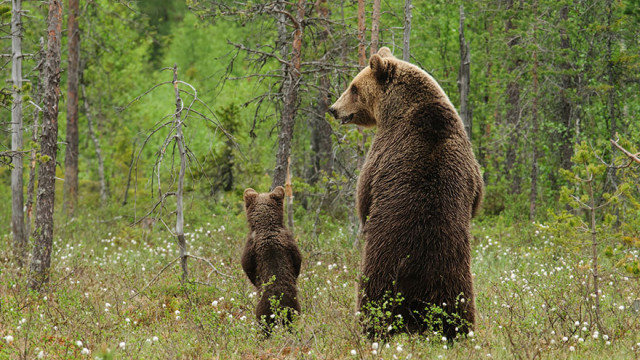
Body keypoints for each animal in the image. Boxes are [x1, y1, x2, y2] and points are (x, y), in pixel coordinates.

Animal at [242, 187, 302, 334]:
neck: (266, 227)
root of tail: (279, 307)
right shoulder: (290, 243)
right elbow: (298, 260)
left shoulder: (250, 248)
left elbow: (247, 266)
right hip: (293, 309)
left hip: (263, 311)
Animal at [330, 47, 484, 340]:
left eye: (353, 87)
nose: (333, 109)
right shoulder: (469, 161)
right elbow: (477, 196)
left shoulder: (382, 151)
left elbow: (364, 195)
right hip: (456, 277)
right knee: (460, 308)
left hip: (382, 268)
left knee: (373, 301)